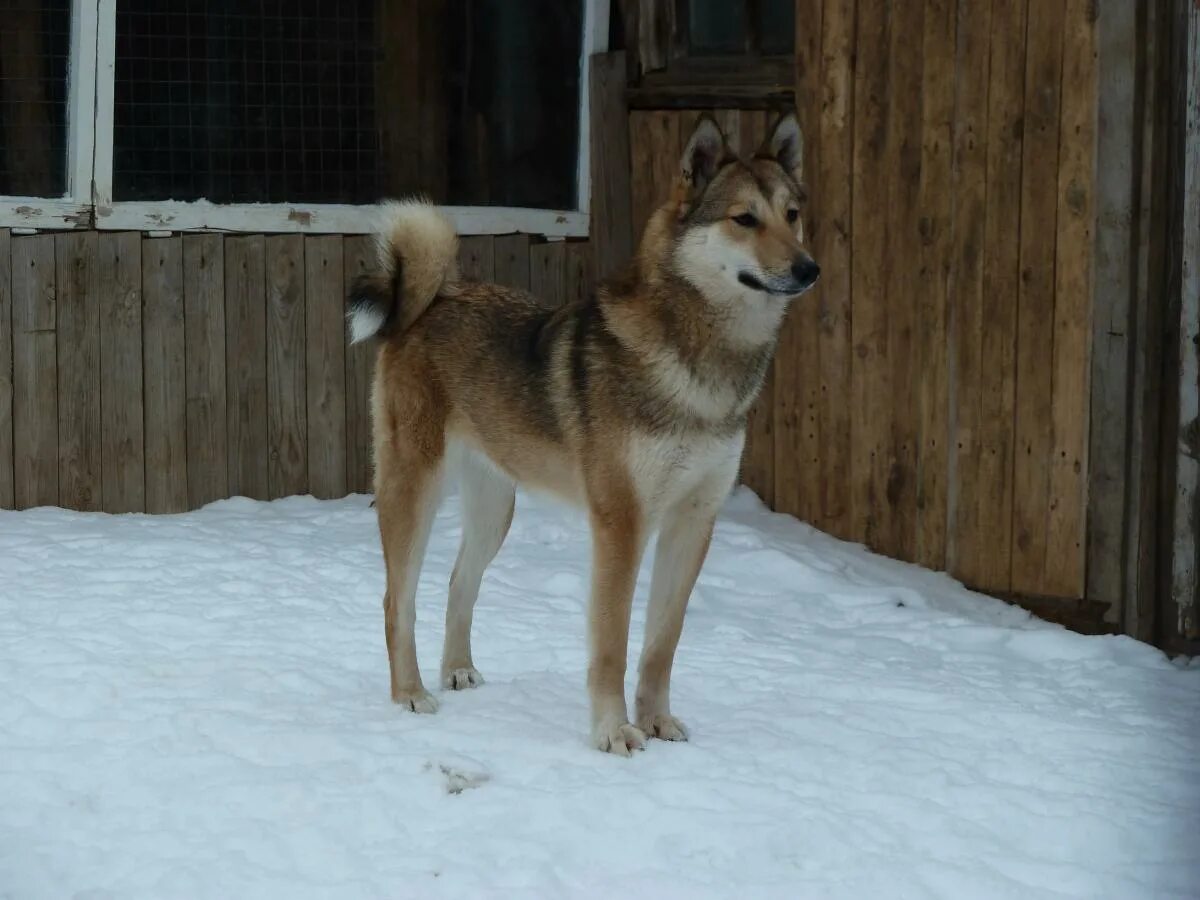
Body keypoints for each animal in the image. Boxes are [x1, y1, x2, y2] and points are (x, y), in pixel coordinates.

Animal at [343, 116, 820, 758]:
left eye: (792, 214)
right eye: (744, 219)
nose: (808, 269)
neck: (701, 367)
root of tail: (430, 300)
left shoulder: (695, 521)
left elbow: (662, 644)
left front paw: (657, 721)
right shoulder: (622, 524)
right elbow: (613, 644)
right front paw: (613, 731)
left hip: (495, 508)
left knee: (458, 582)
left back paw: (458, 670)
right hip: (413, 491)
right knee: (399, 599)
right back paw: (411, 694)